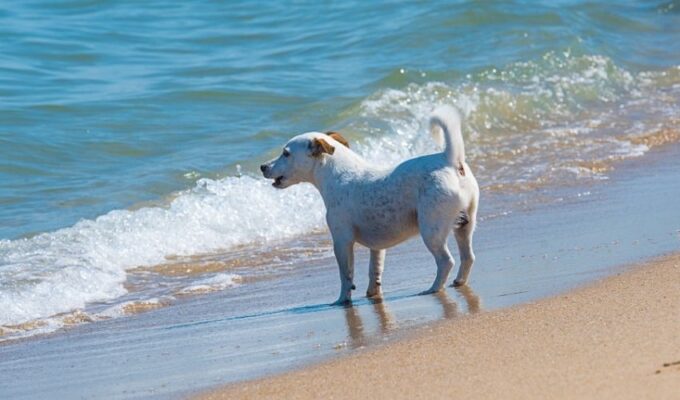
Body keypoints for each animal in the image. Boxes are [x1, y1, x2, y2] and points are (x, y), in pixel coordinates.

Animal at [260, 105, 478, 304]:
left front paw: (342, 300)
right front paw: (373, 293)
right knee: (468, 257)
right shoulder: (377, 247)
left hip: (431, 231)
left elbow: (346, 275)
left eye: (286, 153)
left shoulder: (342, 241)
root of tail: (450, 160)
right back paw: (459, 281)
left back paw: (433, 288)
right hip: (465, 226)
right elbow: (375, 270)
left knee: (446, 261)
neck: (337, 173)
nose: (262, 166)